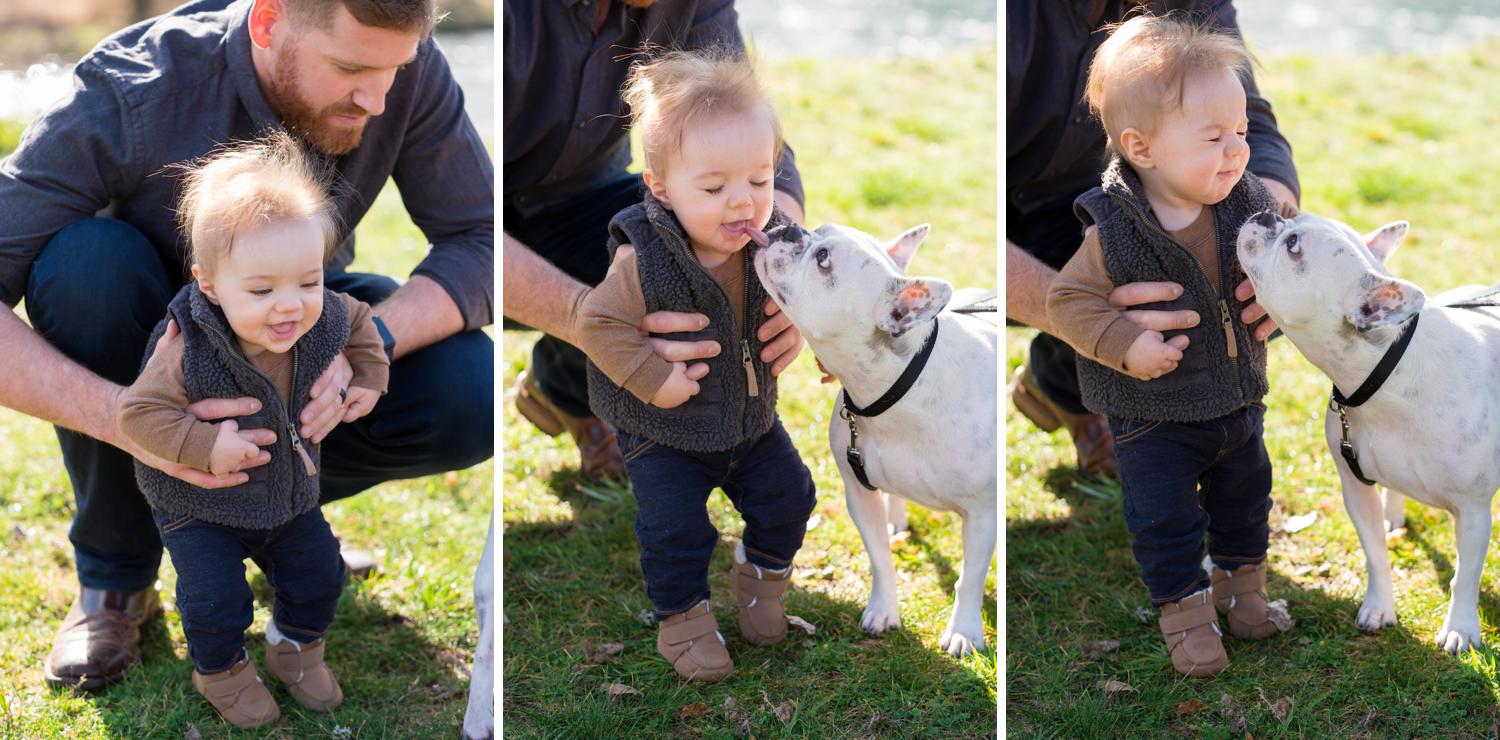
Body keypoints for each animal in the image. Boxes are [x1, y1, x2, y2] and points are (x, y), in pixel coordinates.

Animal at [750, 220, 996, 651]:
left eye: (823, 259)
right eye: (818, 231)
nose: (791, 228)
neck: (901, 389)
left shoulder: (983, 515)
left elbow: (971, 577)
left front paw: (964, 631)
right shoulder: (860, 493)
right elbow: (880, 557)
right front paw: (884, 611)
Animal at [1236, 208, 1500, 651]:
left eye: (1293, 245)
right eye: (1292, 220)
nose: (1267, 214)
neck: (1389, 373)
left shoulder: (1474, 511)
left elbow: (1466, 575)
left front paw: (1460, 629)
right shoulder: (1356, 488)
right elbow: (1375, 553)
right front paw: (1379, 608)